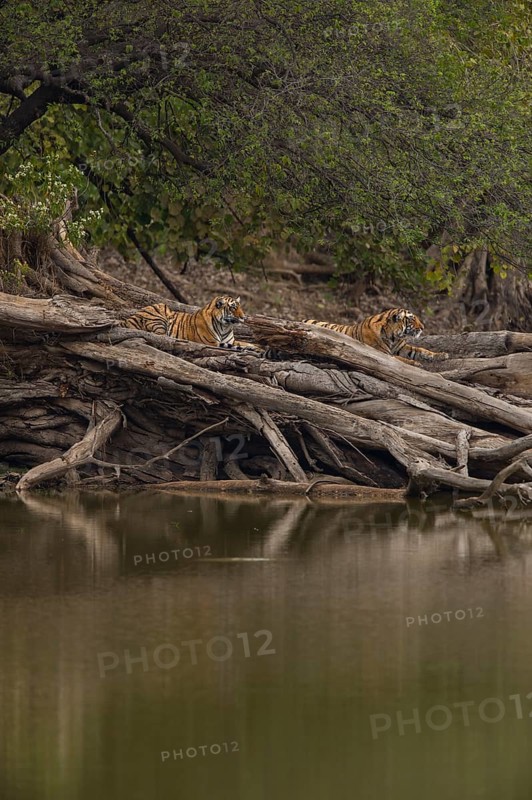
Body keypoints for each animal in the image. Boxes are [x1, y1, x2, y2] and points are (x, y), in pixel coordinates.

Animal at [119, 295, 261, 352]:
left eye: (240, 307)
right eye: (232, 307)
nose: (244, 317)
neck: (225, 326)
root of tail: (128, 319)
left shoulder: (232, 340)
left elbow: (247, 343)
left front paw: (257, 347)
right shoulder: (211, 343)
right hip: (160, 313)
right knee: (160, 337)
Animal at [303, 308, 449, 363]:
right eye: (412, 319)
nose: (423, 327)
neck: (394, 337)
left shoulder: (402, 347)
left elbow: (421, 350)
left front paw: (441, 355)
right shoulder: (382, 353)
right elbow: (400, 359)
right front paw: (416, 364)